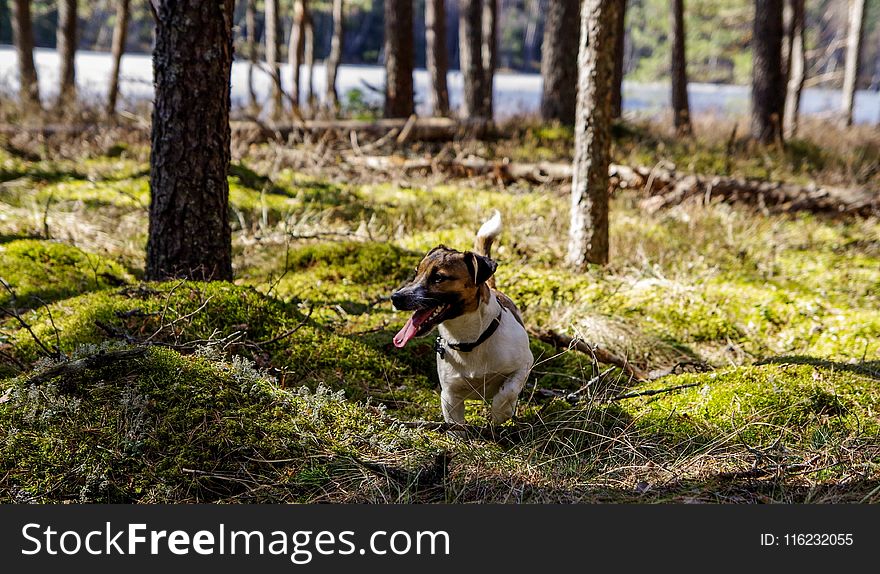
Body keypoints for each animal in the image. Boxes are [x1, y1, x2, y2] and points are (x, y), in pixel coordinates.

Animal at [394, 213, 532, 428]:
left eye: (439, 278)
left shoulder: (524, 364)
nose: (395, 298)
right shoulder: (450, 396)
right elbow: (456, 425)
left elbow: (508, 391)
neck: (470, 341)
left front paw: (501, 412)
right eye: (416, 273)